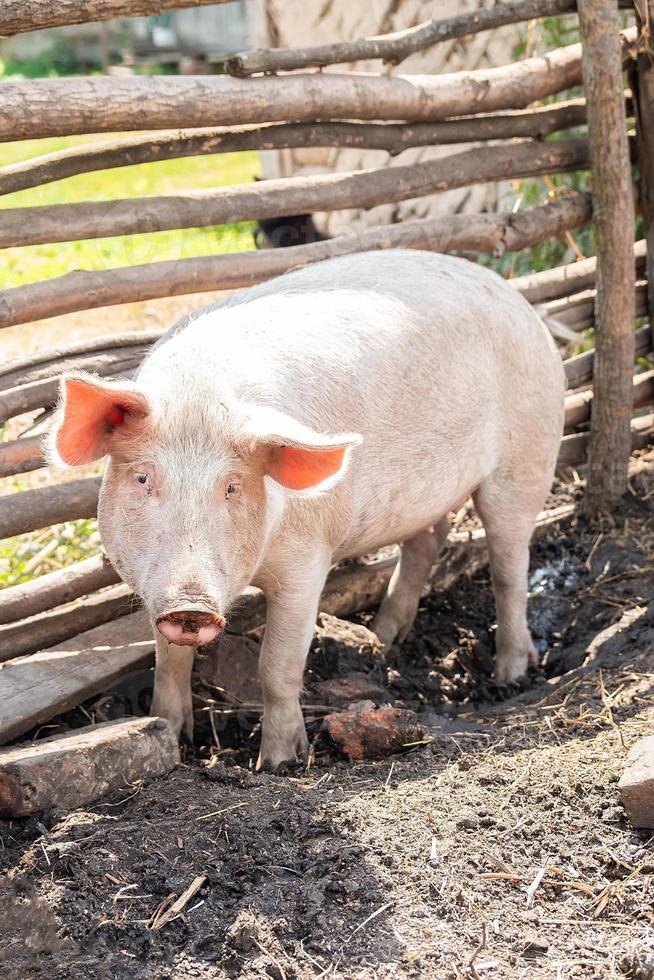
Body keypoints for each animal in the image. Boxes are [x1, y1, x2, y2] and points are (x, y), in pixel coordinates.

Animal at [51, 249, 568, 768]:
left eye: (233, 487)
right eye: (143, 479)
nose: (192, 605)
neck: (200, 396)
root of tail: (515, 298)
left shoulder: (308, 557)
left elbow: (277, 666)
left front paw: (279, 763)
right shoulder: (152, 586)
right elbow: (169, 661)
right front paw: (172, 737)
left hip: (527, 455)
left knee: (509, 567)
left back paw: (509, 675)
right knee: (427, 541)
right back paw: (383, 639)